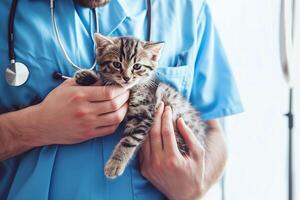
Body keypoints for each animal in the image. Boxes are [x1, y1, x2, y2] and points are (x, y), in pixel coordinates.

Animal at [75, 32, 206, 178]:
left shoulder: (143, 114)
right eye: (116, 64)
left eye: (137, 66)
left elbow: (129, 140)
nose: (126, 78)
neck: (133, 88)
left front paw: (116, 162)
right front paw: (87, 76)